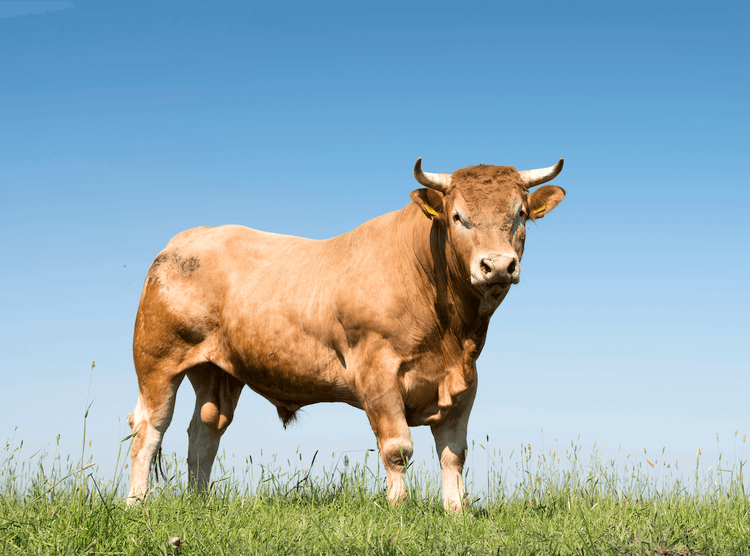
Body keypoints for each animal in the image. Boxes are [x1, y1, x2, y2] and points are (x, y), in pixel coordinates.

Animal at [126, 157, 566, 511]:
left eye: (520, 213)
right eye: (458, 216)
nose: (497, 265)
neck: (451, 334)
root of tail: (186, 238)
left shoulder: (464, 383)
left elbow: (453, 454)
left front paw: (456, 513)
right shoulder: (377, 373)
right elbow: (397, 448)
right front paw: (400, 508)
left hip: (218, 371)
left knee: (204, 433)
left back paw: (198, 502)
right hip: (157, 360)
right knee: (149, 428)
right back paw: (136, 503)